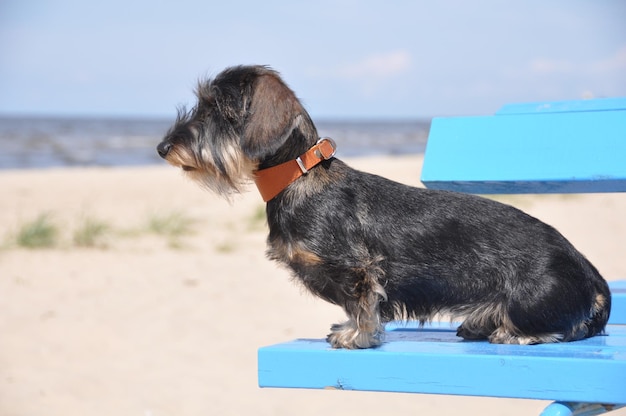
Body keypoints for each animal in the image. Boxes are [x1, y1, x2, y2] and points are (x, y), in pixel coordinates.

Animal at [157, 65, 608, 350]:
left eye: (218, 109)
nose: (162, 148)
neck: (297, 177)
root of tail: (586, 268)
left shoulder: (358, 269)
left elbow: (363, 306)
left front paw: (357, 337)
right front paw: (348, 330)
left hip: (529, 300)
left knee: (558, 328)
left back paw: (513, 332)